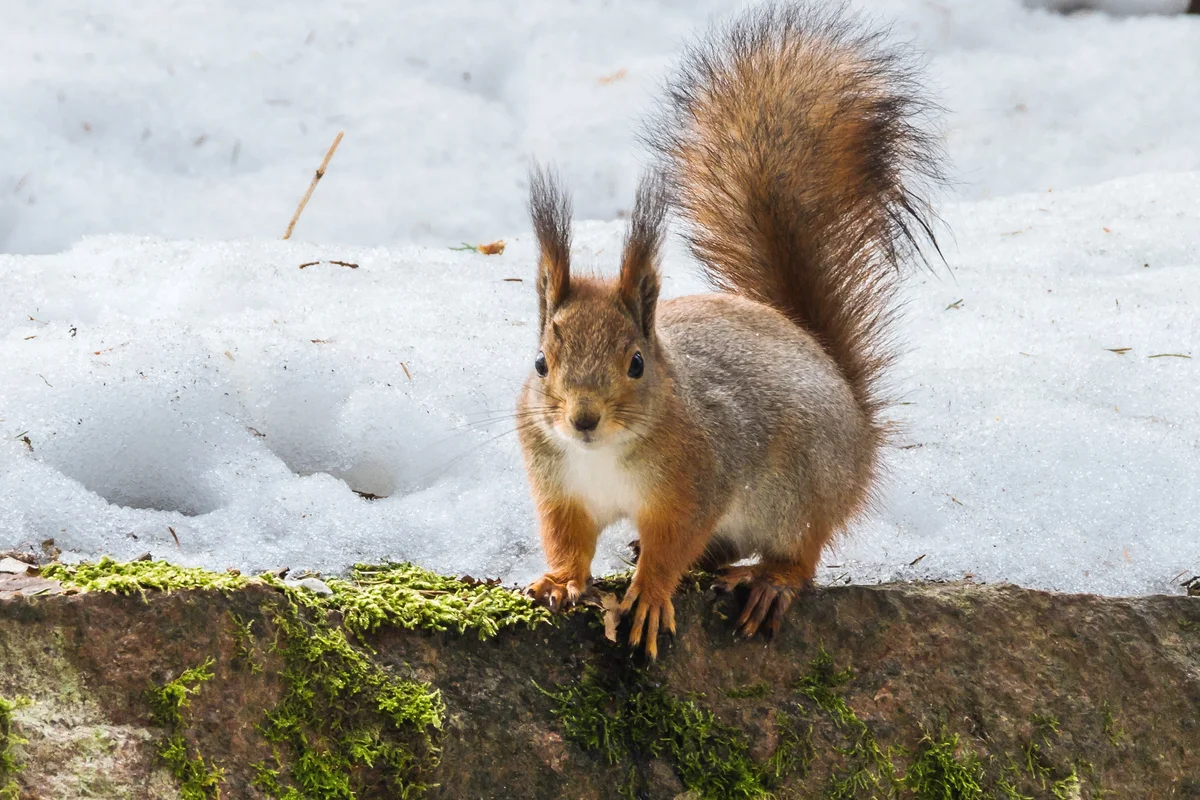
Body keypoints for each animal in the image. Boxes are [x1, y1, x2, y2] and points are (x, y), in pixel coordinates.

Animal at [520, 4, 940, 657]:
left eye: (636, 363)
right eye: (541, 362)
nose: (583, 419)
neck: (604, 455)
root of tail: (861, 436)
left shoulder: (696, 483)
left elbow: (672, 546)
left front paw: (650, 595)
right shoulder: (558, 488)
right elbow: (568, 540)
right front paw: (561, 580)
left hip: (800, 487)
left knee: (801, 554)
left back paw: (768, 581)